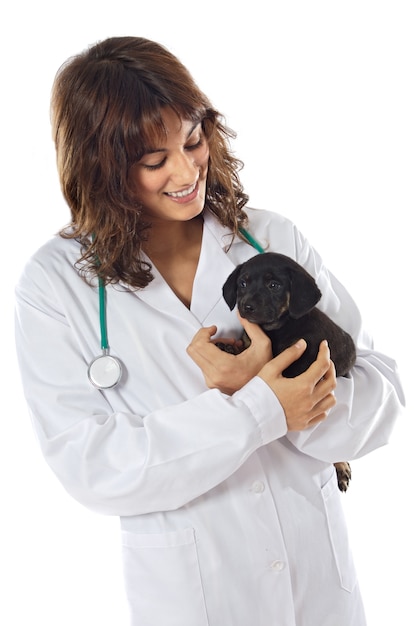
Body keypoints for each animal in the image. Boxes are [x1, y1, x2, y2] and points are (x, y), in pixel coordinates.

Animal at [223, 251, 356, 490]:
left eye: (274, 285)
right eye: (242, 284)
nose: (246, 306)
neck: (277, 329)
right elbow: (244, 346)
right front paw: (229, 347)